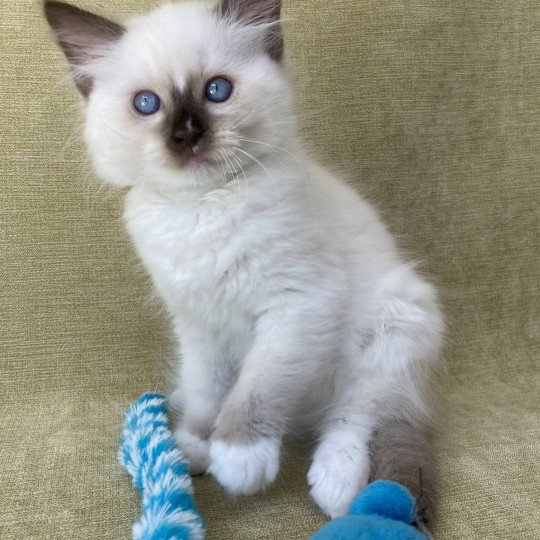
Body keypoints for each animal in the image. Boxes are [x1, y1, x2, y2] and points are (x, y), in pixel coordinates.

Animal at [46, 0, 442, 524]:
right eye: (147, 104)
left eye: (217, 91)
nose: (186, 134)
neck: (202, 208)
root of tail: (304, 419)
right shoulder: (197, 324)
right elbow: (207, 391)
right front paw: (192, 446)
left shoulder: (297, 306)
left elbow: (258, 390)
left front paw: (237, 458)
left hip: (397, 320)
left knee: (357, 412)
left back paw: (337, 484)